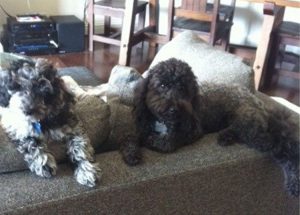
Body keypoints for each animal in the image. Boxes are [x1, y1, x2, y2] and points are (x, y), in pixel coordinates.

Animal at [0, 58, 101, 186]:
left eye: (44, 91)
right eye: (19, 87)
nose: (28, 110)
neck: (41, 120)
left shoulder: (72, 126)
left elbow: (80, 147)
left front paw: (86, 169)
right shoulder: (16, 126)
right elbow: (30, 142)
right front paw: (44, 163)